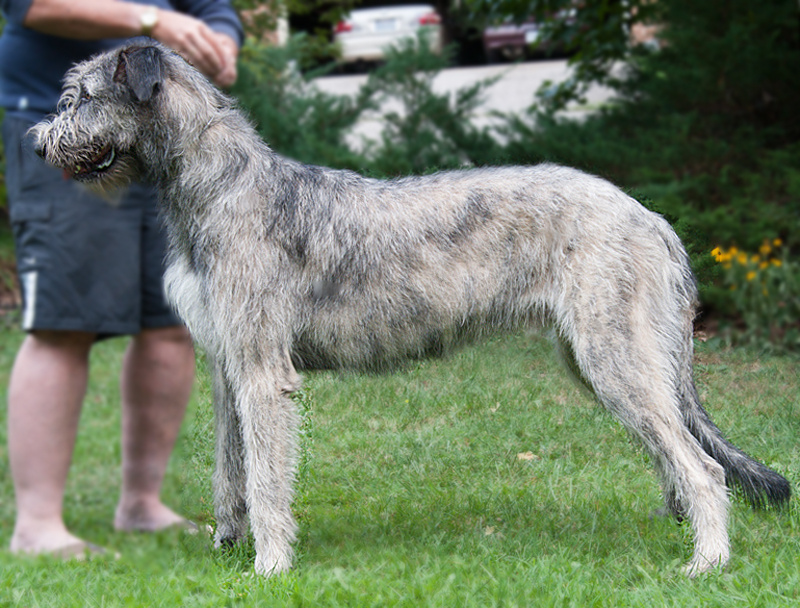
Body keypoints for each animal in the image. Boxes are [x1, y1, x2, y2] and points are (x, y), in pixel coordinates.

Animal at [29, 41, 788, 576]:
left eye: (79, 97)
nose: (37, 143)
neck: (217, 187)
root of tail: (653, 218)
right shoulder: (226, 366)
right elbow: (229, 467)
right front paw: (226, 543)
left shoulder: (263, 371)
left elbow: (268, 474)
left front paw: (270, 566)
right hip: (605, 361)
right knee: (674, 451)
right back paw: (680, 528)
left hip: (615, 356)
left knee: (704, 466)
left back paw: (708, 559)